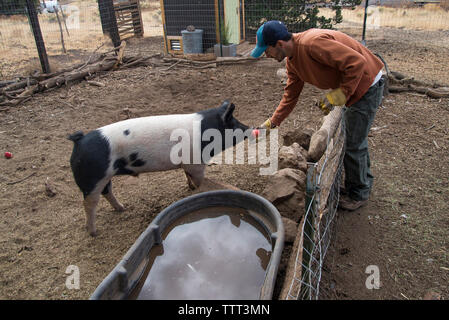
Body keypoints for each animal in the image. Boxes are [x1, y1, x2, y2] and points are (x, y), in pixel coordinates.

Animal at [68, 101, 248, 236]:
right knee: (89, 203)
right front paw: (197, 190)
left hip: (104, 176)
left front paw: (189, 188)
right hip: (92, 178)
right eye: (234, 123)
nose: (249, 128)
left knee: (107, 192)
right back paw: (94, 232)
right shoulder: (195, 163)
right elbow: (199, 180)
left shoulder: (186, 164)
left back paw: (122, 208)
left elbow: (187, 176)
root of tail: (79, 141)